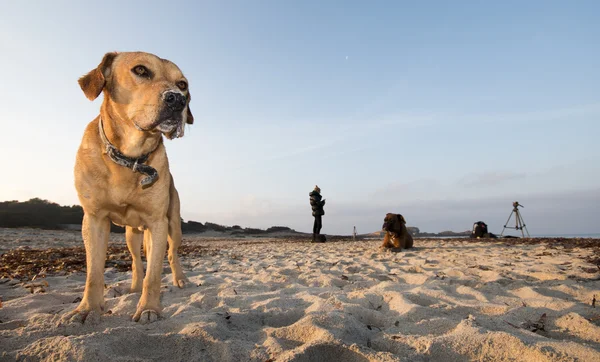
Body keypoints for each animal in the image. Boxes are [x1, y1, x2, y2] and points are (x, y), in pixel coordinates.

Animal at [67, 51, 195, 326]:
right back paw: (134, 287)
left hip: (173, 226)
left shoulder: (157, 223)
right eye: (141, 70)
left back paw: (180, 279)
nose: (178, 100)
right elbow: (94, 273)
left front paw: (149, 308)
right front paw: (87, 309)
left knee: (171, 254)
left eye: (182, 84)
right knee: (137, 262)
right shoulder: (94, 219)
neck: (130, 158)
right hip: (131, 234)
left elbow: (154, 275)